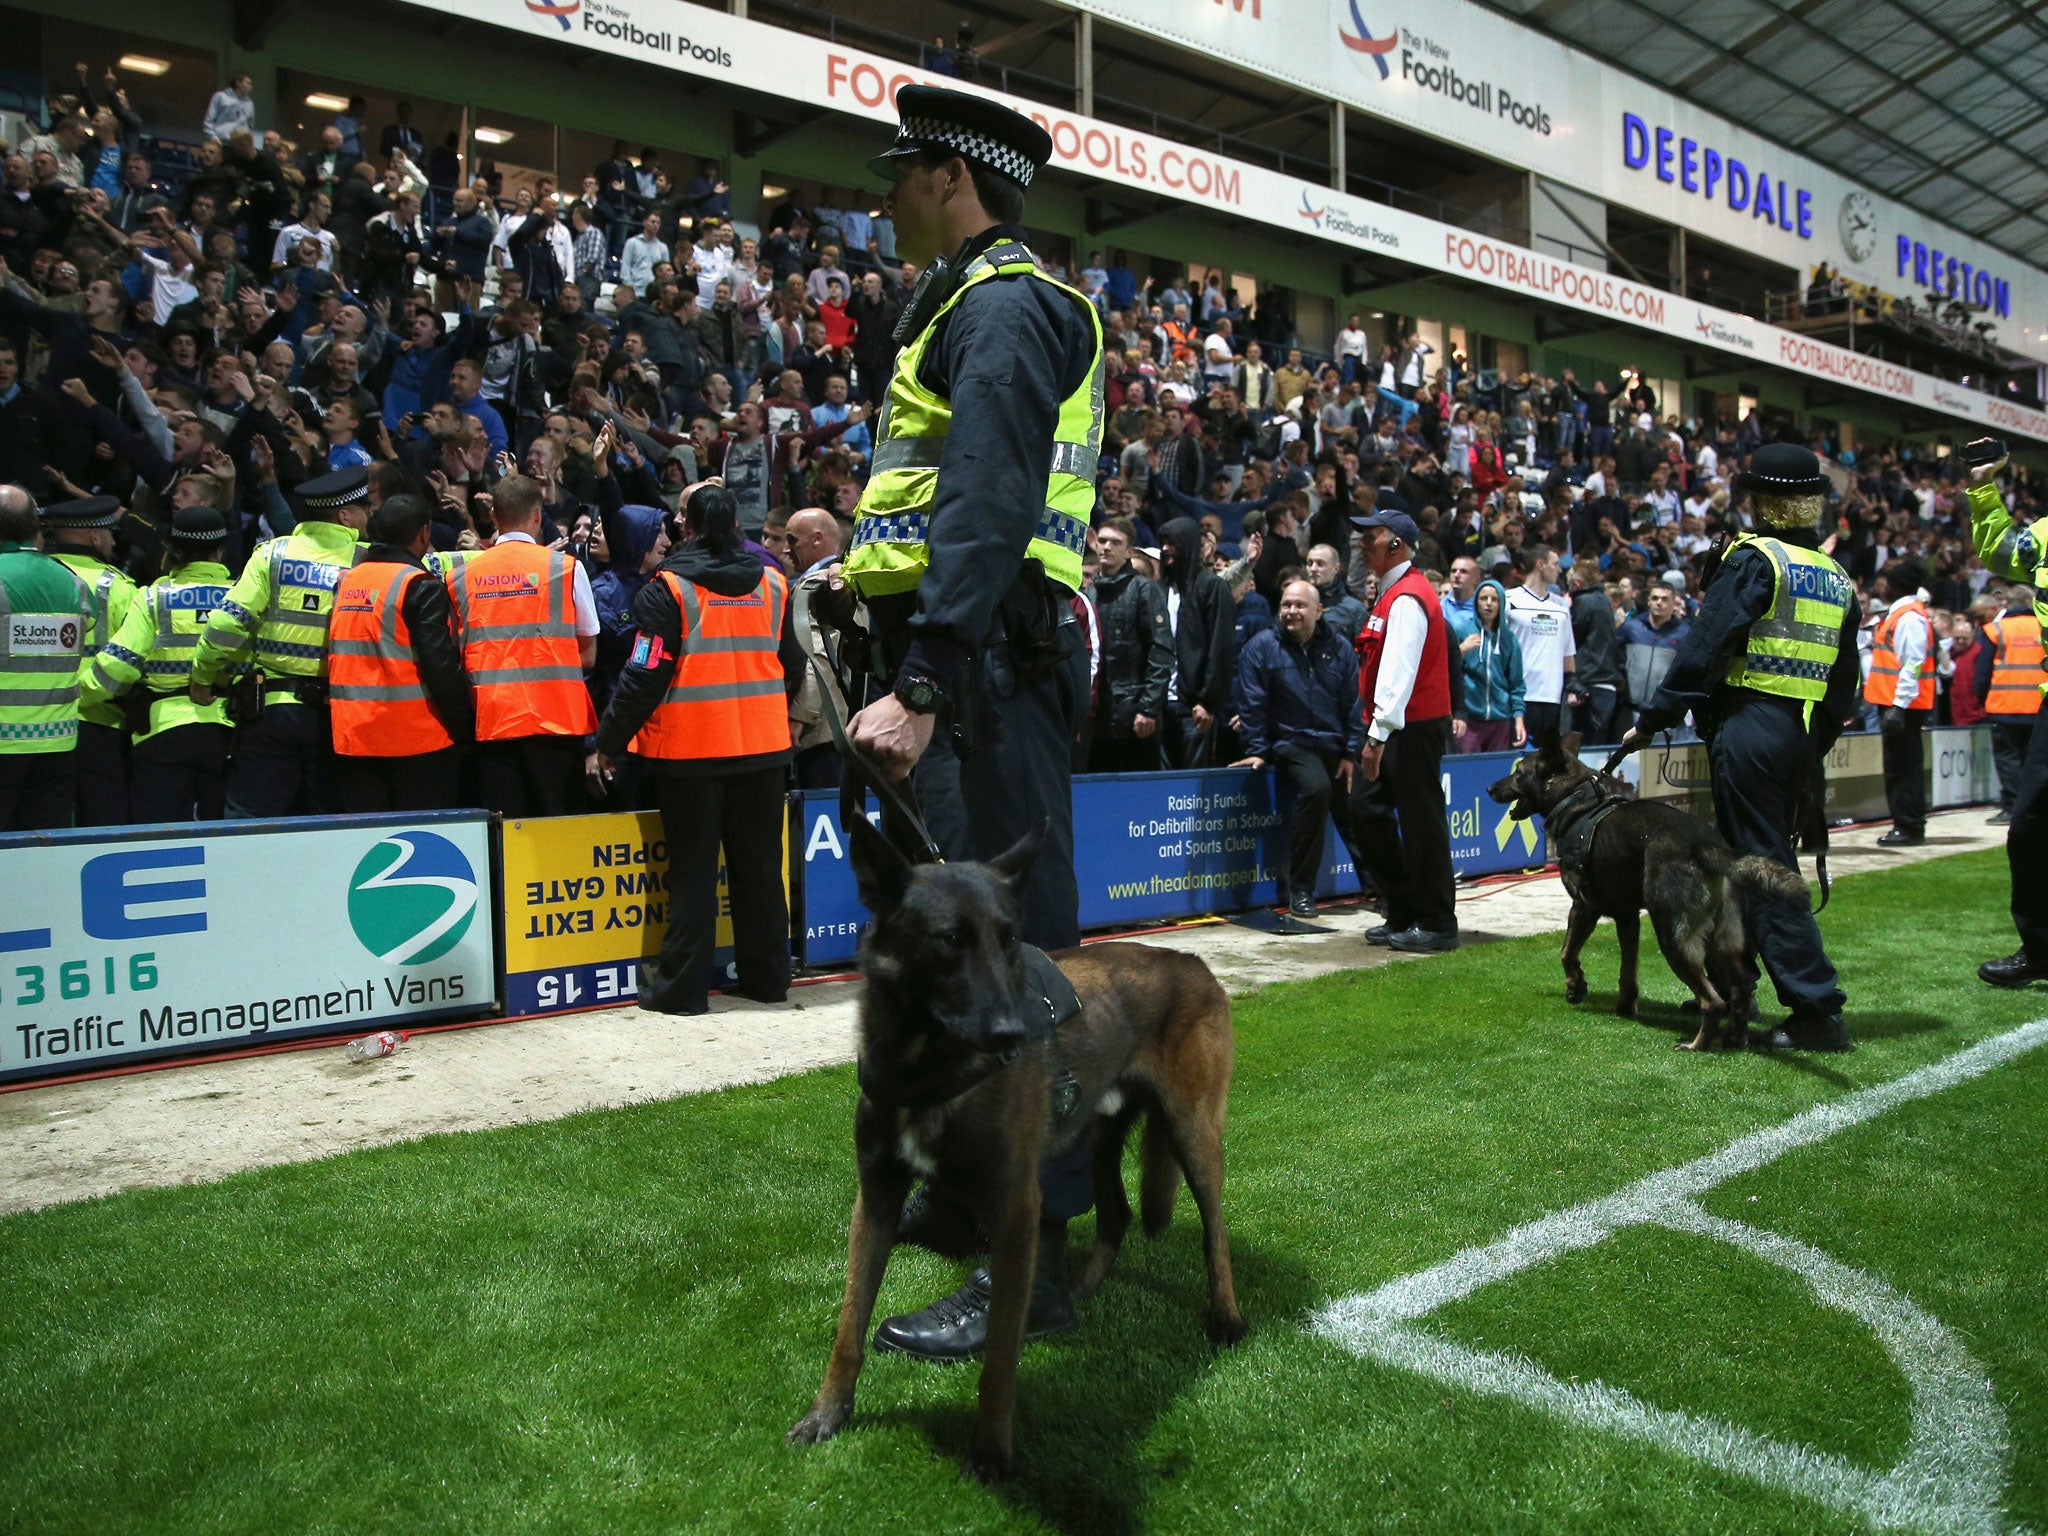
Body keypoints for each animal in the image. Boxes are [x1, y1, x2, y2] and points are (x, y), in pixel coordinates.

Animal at [786, 819, 1245, 1482]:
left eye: (1009, 940)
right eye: (950, 940)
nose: (1013, 1034)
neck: (928, 1069)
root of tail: (1192, 959)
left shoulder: (1014, 1210)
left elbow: (1001, 1353)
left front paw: (991, 1455)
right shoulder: (876, 1198)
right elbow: (849, 1324)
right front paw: (828, 1413)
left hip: (1193, 1133)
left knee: (1215, 1231)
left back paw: (1226, 1318)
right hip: (1096, 1139)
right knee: (1117, 1215)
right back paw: (1082, 1290)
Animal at [1490, 737, 1810, 1056]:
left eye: (1518, 773)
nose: (1490, 789)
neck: (1576, 800)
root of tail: (1705, 845)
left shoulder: (1583, 908)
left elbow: (1567, 952)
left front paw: (1575, 987)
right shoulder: (1628, 918)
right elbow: (1628, 972)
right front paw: (1624, 1007)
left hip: (1673, 938)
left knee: (1714, 1002)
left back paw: (1697, 1045)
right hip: (1721, 940)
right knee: (1741, 988)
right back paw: (1736, 1039)